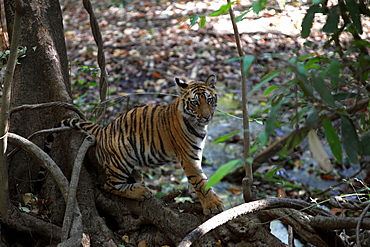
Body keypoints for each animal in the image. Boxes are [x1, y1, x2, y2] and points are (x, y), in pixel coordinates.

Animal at [50, 74, 224, 215]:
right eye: (195, 103)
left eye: (209, 100)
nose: (207, 116)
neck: (199, 126)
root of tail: (103, 129)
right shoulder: (188, 156)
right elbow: (199, 180)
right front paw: (213, 205)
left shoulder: (195, 153)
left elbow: (198, 179)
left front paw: (197, 197)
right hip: (123, 158)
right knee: (110, 185)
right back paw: (141, 192)